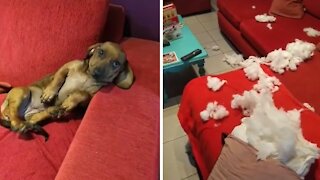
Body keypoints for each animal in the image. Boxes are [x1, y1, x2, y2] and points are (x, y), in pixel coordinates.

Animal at [0, 41, 134, 140]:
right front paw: (49, 93)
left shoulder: (88, 99)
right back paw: (20, 123)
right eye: (101, 52)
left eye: (116, 63)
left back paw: (52, 111)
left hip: (32, 114)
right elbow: (58, 79)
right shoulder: (67, 67)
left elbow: (83, 93)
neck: (88, 76)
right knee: (13, 114)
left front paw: (70, 101)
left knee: (32, 118)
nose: (97, 72)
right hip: (22, 92)